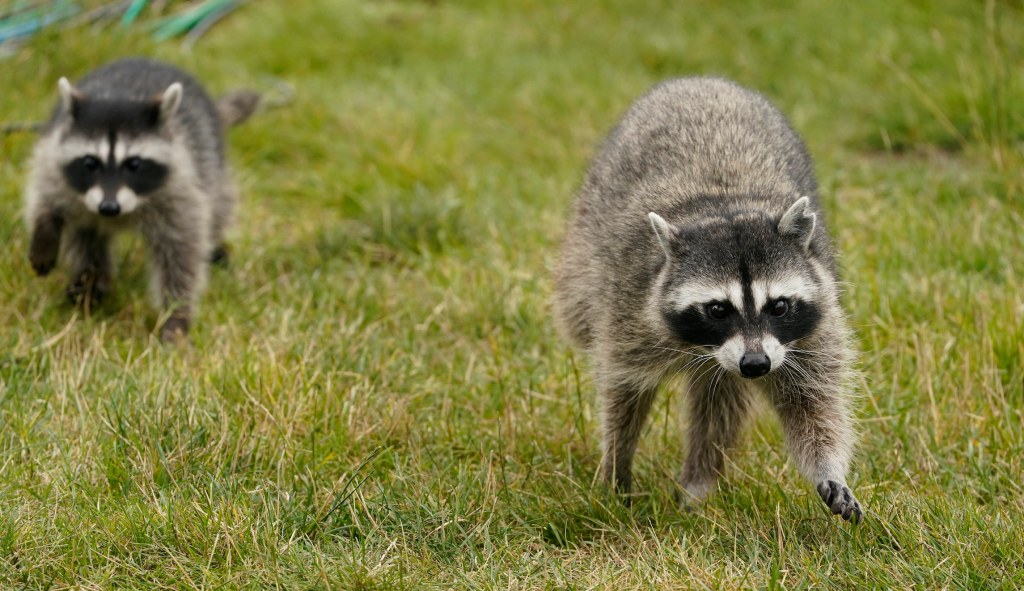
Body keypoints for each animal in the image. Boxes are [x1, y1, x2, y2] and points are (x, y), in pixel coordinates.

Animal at [23, 57, 258, 341]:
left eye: (134, 164)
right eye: (90, 162)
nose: (108, 207)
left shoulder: (180, 183)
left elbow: (181, 253)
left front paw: (176, 314)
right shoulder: (54, 154)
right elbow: (45, 192)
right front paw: (44, 231)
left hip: (209, 155)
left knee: (219, 202)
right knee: (86, 236)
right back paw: (90, 280)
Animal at [553, 77, 863, 522]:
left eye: (779, 306)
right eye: (718, 309)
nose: (756, 364)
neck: (725, 204)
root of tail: (701, 79)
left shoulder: (814, 324)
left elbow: (813, 402)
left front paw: (829, 467)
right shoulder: (629, 305)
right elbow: (624, 391)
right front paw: (616, 465)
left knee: (720, 403)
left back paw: (699, 483)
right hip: (584, 242)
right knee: (578, 311)